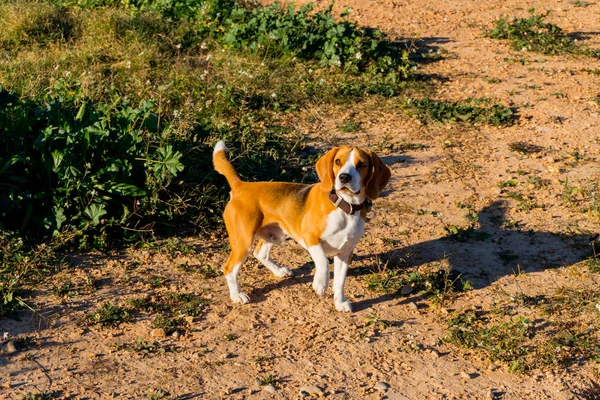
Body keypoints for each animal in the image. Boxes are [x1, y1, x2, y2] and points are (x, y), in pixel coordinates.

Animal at [213, 141, 392, 312]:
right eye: (338, 161)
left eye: (361, 164)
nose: (344, 177)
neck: (345, 207)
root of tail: (241, 185)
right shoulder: (310, 237)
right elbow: (323, 262)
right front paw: (320, 283)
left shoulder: (345, 252)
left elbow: (340, 282)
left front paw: (340, 302)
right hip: (243, 242)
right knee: (228, 268)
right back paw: (237, 294)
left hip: (272, 235)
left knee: (260, 253)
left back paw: (279, 271)